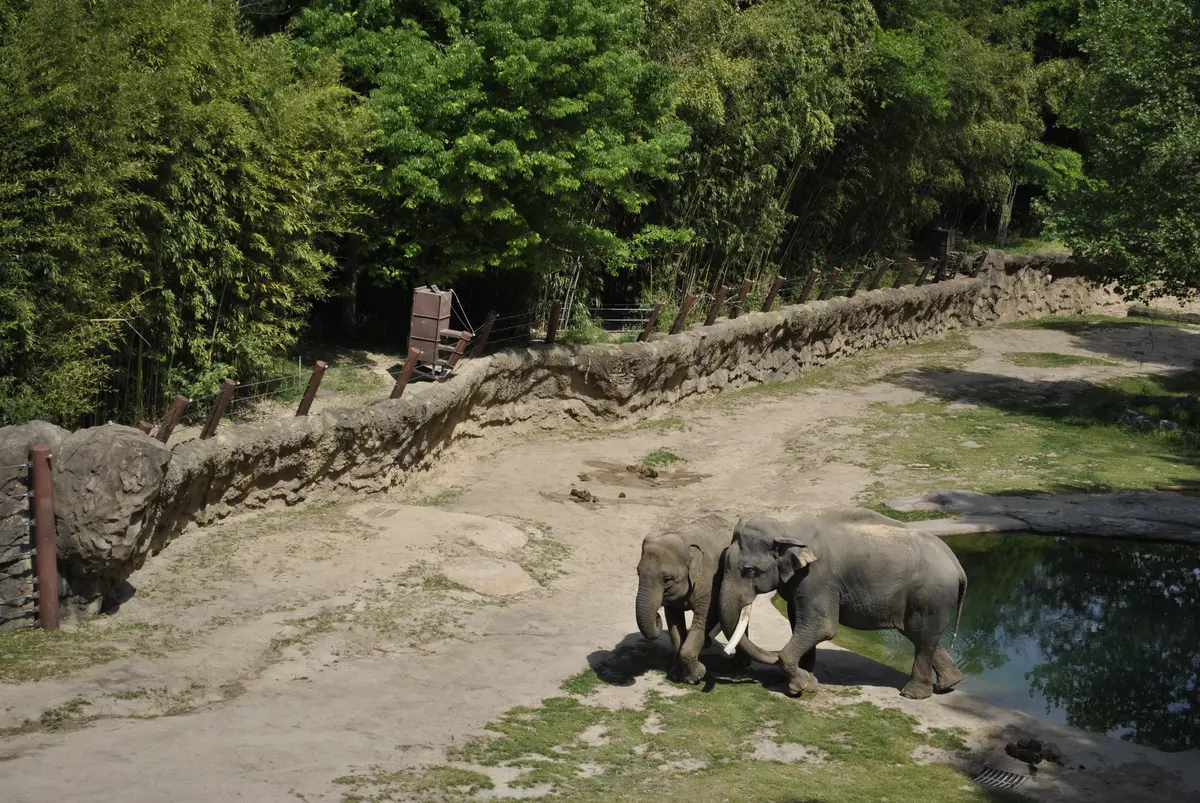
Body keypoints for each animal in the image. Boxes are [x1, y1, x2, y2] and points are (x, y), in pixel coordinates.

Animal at [636, 514, 779, 683]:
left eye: (667, 579)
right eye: (637, 572)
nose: (656, 617)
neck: (684, 539)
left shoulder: (710, 581)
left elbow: (705, 616)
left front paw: (695, 677)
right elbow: (674, 623)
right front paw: (676, 675)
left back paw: (740, 663)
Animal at [719, 507, 967, 700]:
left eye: (749, 570)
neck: (784, 523)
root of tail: (957, 564)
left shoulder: (817, 578)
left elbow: (822, 626)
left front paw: (800, 687)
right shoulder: (800, 582)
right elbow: (797, 619)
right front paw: (806, 677)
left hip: (931, 596)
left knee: (922, 635)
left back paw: (913, 694)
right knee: (919, 634)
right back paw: (949, 683)